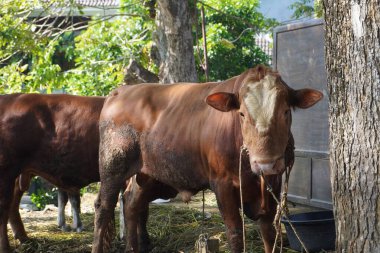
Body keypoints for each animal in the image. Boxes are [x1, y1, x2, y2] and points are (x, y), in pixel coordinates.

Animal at [93, 65, 324, 253]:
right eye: (241, 114)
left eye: (285, 111)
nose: (265, 164)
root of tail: (120, 91)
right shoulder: (222, 185)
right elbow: (235, 234)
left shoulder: (273, 186)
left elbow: (270, 234)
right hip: (112, 168)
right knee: (103, 208)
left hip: (147, 174)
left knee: (132, 204)